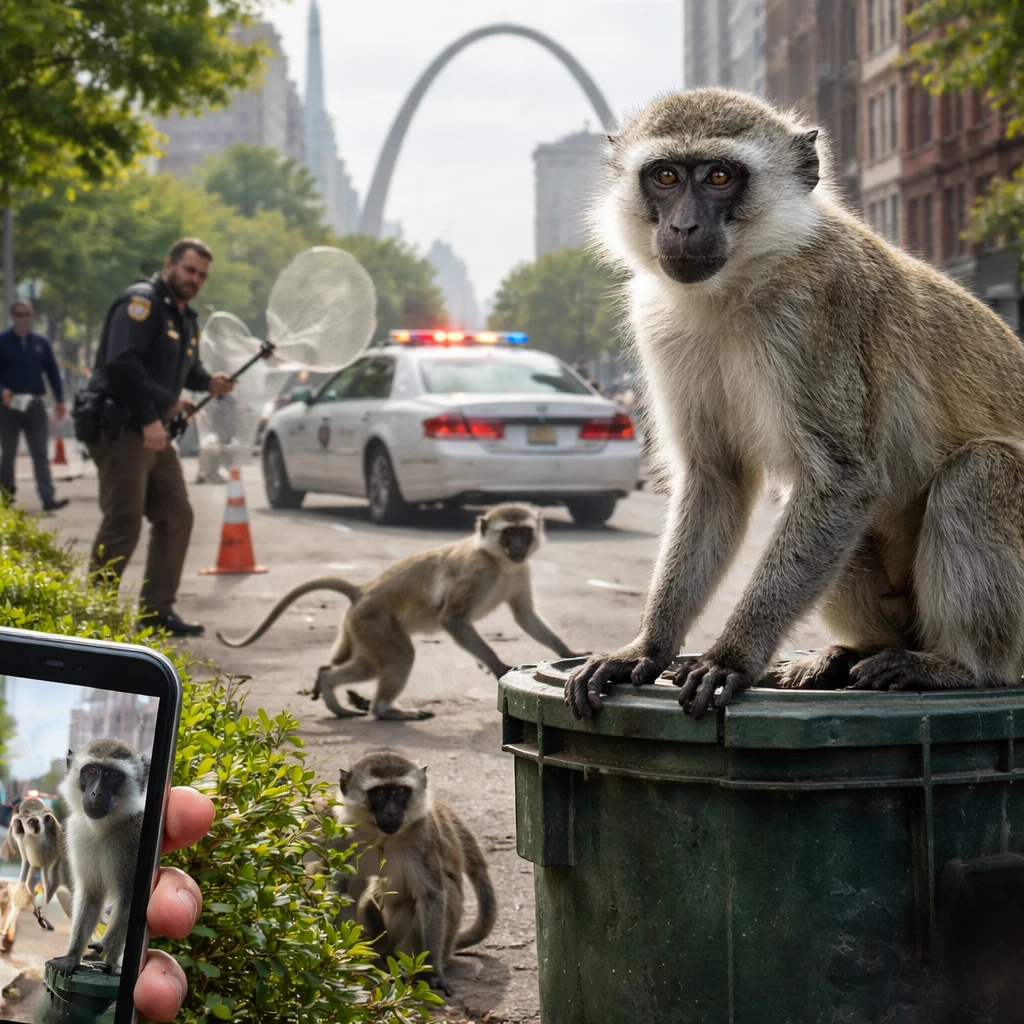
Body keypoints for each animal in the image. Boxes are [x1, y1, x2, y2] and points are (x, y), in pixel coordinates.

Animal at [47, 739, 149, 977]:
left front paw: (108, 955)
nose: (96, 794)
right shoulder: (76, 831)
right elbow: (91, 893)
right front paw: (72, 956)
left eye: (112, 775)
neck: (107, 827)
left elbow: (129, 898)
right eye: (91, 771)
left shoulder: (136, 836)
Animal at [217, 503, 577, 721]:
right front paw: (498, 665)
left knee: (366, 663)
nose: (518, 547)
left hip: (358, 628)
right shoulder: (476, 573)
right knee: (400, 658)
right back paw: (384, 710)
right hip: (374, 622)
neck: (499, 563)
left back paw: (328, 681)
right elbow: (452, 619)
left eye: (523, 532)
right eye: (509, 533)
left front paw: (567, 651)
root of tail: (363, 590)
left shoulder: (520, 572)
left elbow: (524, 616)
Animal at [332, 749, 496, 995]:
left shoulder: (422, 835)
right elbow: (344, 889)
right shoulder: (346, 833)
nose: (392, 812)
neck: (383, 837)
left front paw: (431, 971)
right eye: (379, 792)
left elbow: (432, 895)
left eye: (401, 791)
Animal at [564, 86, 1024, 722]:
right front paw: (648, 647)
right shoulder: (662, 325)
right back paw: (852, 653)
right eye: (664, 175)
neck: (743, 280)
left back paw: (964, 668)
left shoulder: (818, 311)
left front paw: (731, 658)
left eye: (719, 176)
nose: (683, 225)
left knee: (981, 471)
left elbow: (844, 482)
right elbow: (716, 479)